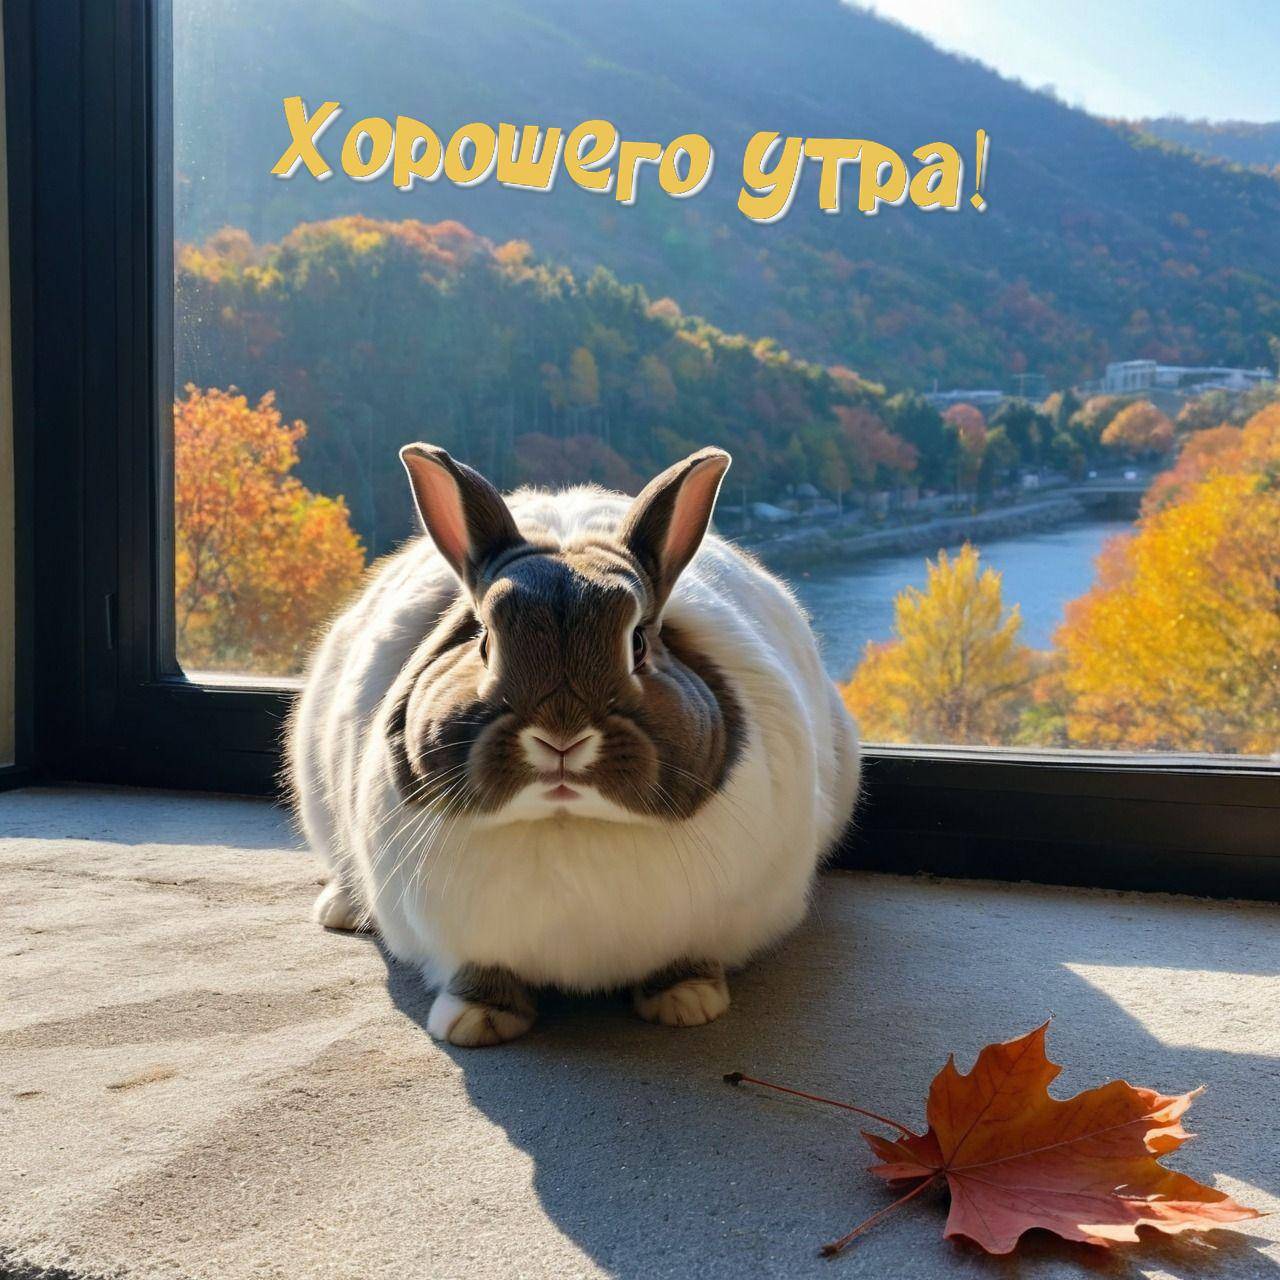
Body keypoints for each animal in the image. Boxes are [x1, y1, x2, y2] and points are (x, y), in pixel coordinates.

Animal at [289, 443, 861, 1046]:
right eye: (484, 640)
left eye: (639, 642)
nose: (561, 735)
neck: (565, 822)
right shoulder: (460, 939)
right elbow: (479, 972)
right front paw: (474, 1020)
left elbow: (685, 962)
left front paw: (687, 1000)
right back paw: (341, 908)